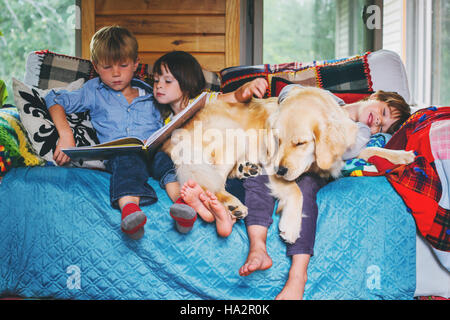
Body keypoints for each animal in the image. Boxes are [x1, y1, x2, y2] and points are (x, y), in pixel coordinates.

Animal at [162, 86, 414, 244]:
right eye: (278, 140)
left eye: (300, 143)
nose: (281, 170)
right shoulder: (273, 166)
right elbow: (295, 191)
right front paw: (292, 226)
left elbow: (370, 150)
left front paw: (402, 155)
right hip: (232, 136)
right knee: (209, 183)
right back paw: (230, 205)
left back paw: (246, 170)